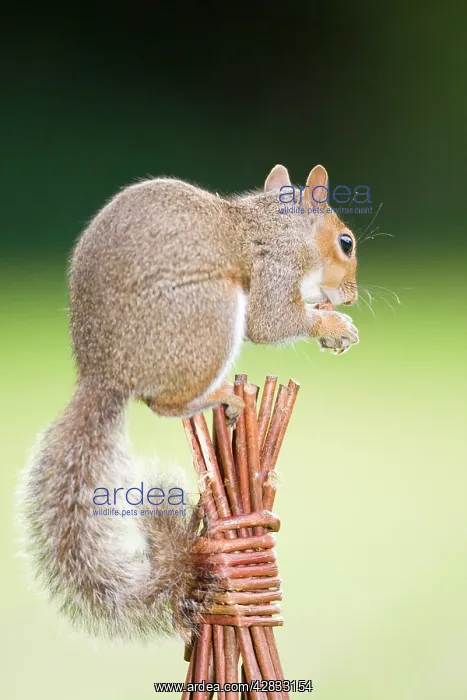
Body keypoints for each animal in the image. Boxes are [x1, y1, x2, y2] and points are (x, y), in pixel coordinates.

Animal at [21, 163, 358, 641]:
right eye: (346, 243)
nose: (351, 294)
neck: (279, 227)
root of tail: (105, 376)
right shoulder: (275, 268)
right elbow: (271, 322)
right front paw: (334, 324)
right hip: (209, 313)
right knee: (163, 404)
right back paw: (222, 395)